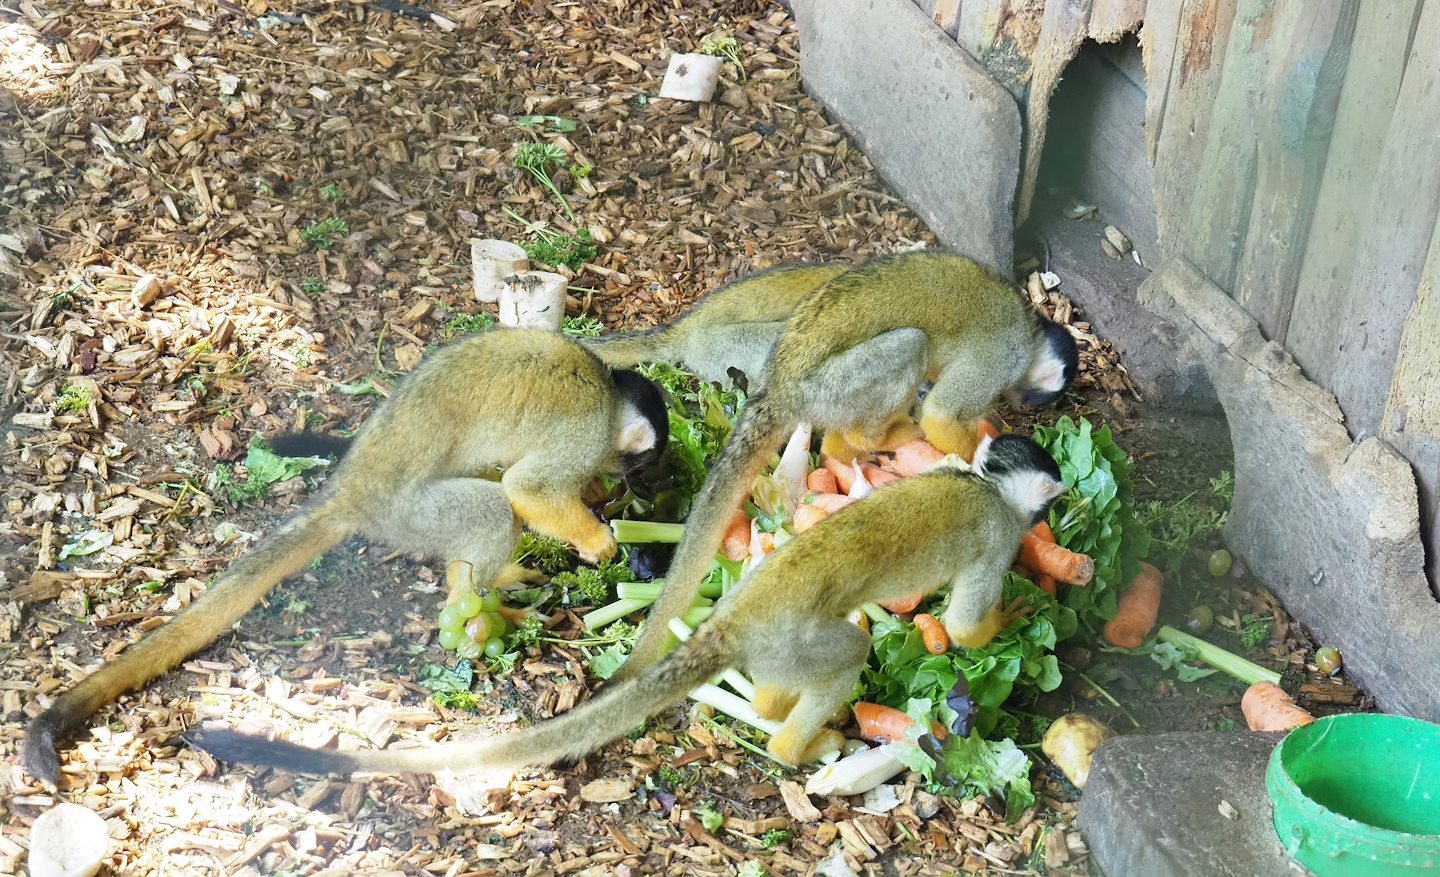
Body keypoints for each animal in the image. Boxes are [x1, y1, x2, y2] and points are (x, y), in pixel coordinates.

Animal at [20, 327, 669, 784]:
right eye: (643, 461)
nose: (638, 479)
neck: (609, 395)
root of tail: (354, 486)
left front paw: (594, 503)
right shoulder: (584, 431)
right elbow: (528, 490)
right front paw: (600, 539)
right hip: (404, 511)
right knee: (491, 504)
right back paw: (476, 609)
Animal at [186, 432, 1065, 776]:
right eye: (1047, 501)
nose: (1053, 512)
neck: (983, 485)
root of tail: (730, 618)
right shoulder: (997, 533)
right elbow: (962, 624)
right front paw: (1013, 619)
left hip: (768, 632)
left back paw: (772, 709)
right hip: (790, 635)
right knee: (847, 650)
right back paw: (794, 744)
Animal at [611, 250, 1080, 684]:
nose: (1027, 404)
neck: (1030, 327)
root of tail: (780, 383)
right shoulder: (1005, 355)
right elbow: (944, 415)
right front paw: (970, 462)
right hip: (828, 387)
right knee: (911, 344)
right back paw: (874, 437)